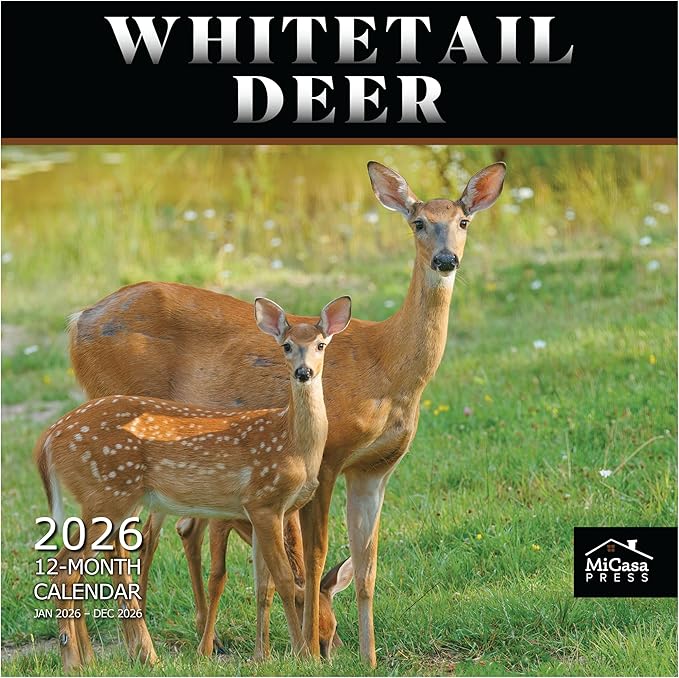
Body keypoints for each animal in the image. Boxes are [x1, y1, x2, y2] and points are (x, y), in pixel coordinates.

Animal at [35, 296, 352, 671]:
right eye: (286, 346)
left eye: (321, 345)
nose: (304, 372)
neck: (292, 444)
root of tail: (49, 438)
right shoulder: (263, 501)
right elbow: (284, 580)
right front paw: (301, 656)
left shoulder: (264, 512)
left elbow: (264, 584)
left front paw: (264, 656)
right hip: (107, 494)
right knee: (65, 568)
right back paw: (78, 661)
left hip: (103, 500)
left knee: (78, 567)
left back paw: (90, 660)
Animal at [68, 160, 506, 666]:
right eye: (418, 222)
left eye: (463, 221)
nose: (445, 260)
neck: (387, 368)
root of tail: (77, 321)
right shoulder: (329, 457)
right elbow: (314, 557)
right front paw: (310, 651)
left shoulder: (376, 468)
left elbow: (367, 564)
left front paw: (369, 658)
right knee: (123, 538)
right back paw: (140, 650)